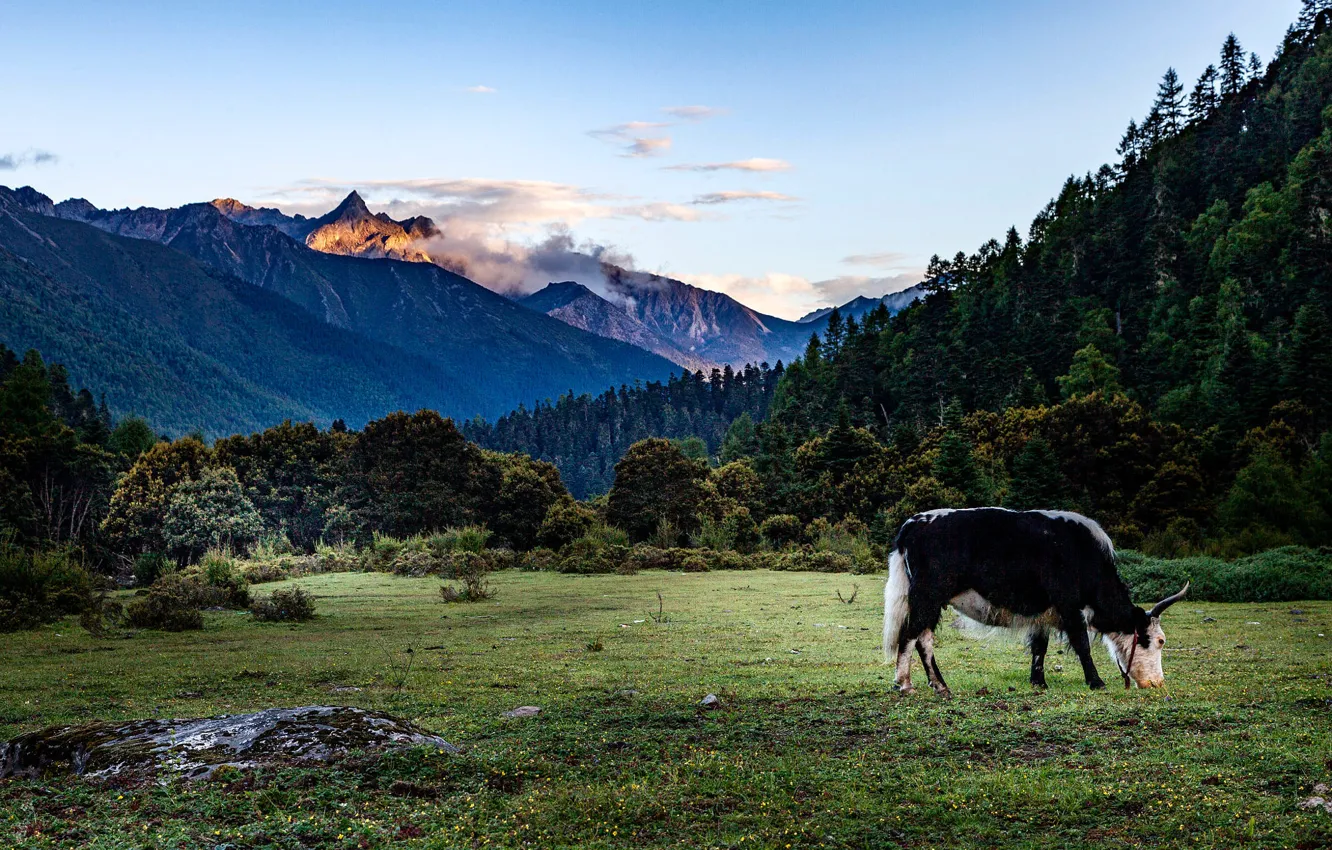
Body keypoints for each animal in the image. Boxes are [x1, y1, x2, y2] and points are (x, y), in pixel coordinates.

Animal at [882, 508, 1189, 695]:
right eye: (1159, 641)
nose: (1157, 683)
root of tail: (913, 524)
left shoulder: (1044, 615)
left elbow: (1040, 647)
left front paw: (1038, 682)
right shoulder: (1069, 606)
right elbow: (1082, 643)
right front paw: (1096, 682)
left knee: (922, 638)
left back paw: (941, 686)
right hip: (928, 596)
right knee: (912, 635)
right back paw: (906, 684)